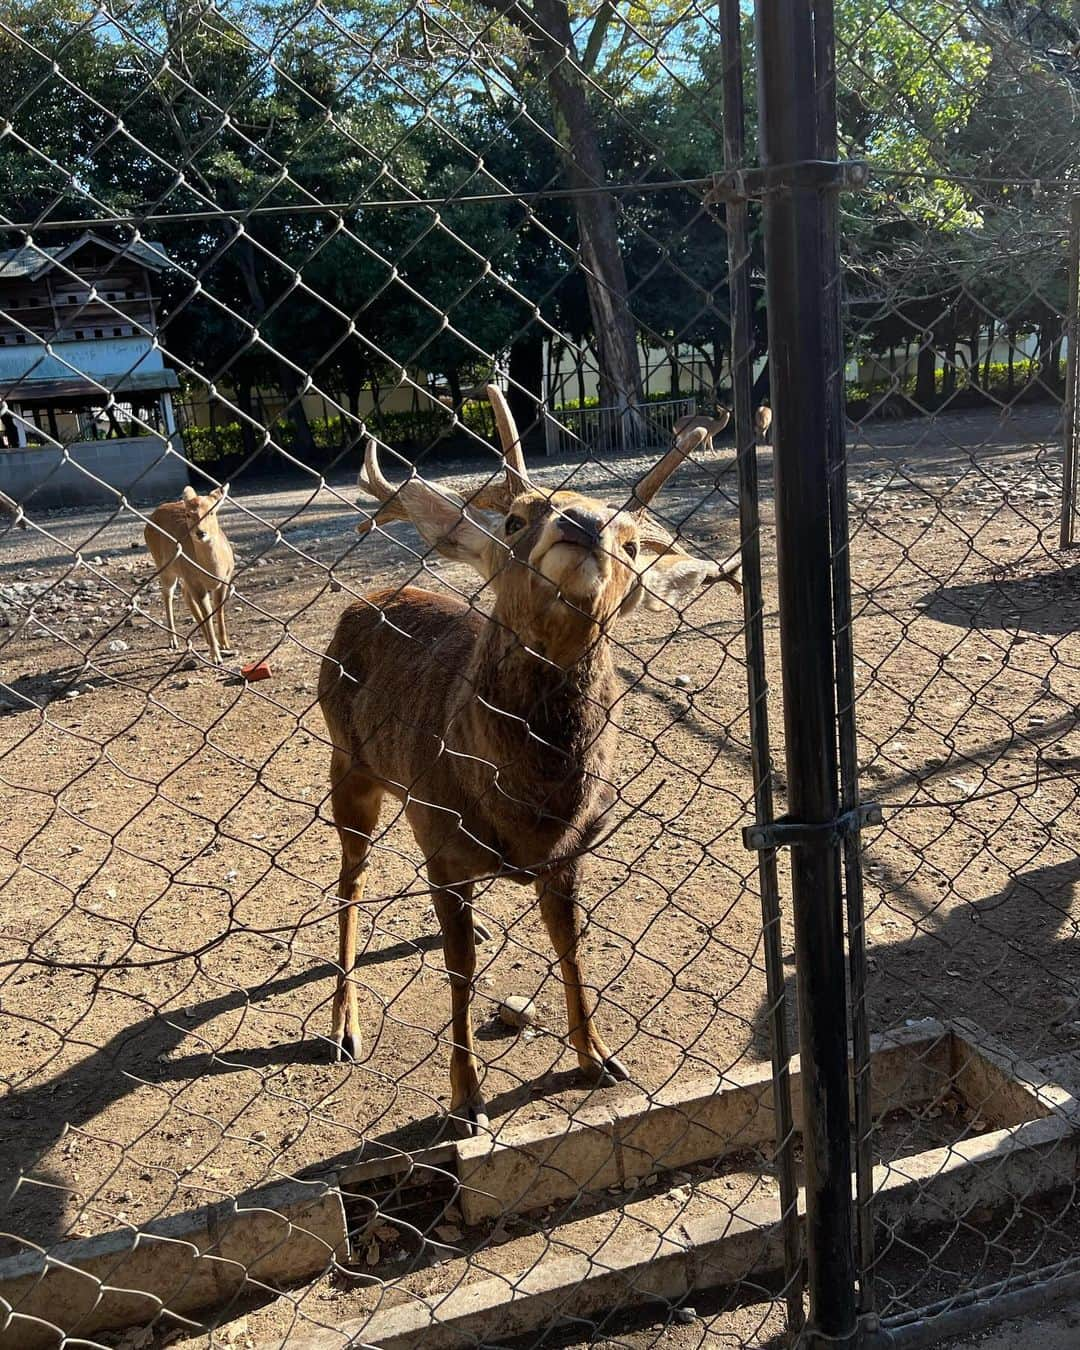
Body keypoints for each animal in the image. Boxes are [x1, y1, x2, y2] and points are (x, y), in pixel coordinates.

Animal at [144, 486, 234, 664]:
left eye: (211, 512)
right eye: (188, 514)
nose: (201, 533)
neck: (213, 569)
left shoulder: (224, 580)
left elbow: (218, 608)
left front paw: (225, 644)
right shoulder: (195, 581)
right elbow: (207, 612)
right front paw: (216, 656)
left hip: (182, 575)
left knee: (185, 594)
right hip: (165, 567)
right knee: (168, 594)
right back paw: (173, 641)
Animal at [321, 386, 745, 1134]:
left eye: (631, 542)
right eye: (517, 519)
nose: (584, 523)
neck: (525, 808)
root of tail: (364, 601)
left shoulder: (569, 852)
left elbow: (570, 944)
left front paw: (597, 1057)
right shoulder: (445, 844)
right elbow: (461, 972)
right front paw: (466, 1101)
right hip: (348, 762)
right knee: (350, 879)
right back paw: (344, 1026)